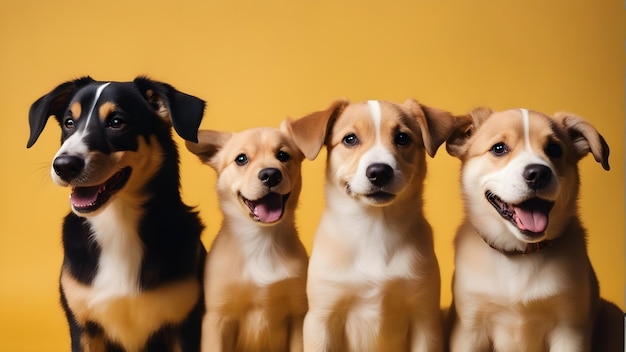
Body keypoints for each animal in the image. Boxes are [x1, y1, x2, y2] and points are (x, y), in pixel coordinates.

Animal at [28, 77, 207, 352]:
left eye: (116, 122)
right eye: (69, 122)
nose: (63, 166)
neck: (118, 224)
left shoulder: (184, 324)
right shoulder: (83, 326)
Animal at [184, 124, 312, 352]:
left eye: (283, 155)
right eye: (241, 159)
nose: (271, 174)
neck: (261, 239)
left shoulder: (298, 315)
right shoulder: (216, 318)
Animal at [286, 99, 466, 352]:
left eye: (402, 138)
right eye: (350, 139)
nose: (379, 172)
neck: (374, 227)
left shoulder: (424, 317)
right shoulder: (322, 317)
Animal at [446, 108, 620, 352]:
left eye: (554, 149)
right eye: (499, 148)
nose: (538, 173)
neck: (520, 254)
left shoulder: (570, 328)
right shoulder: (470, 328)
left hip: (614, 314)